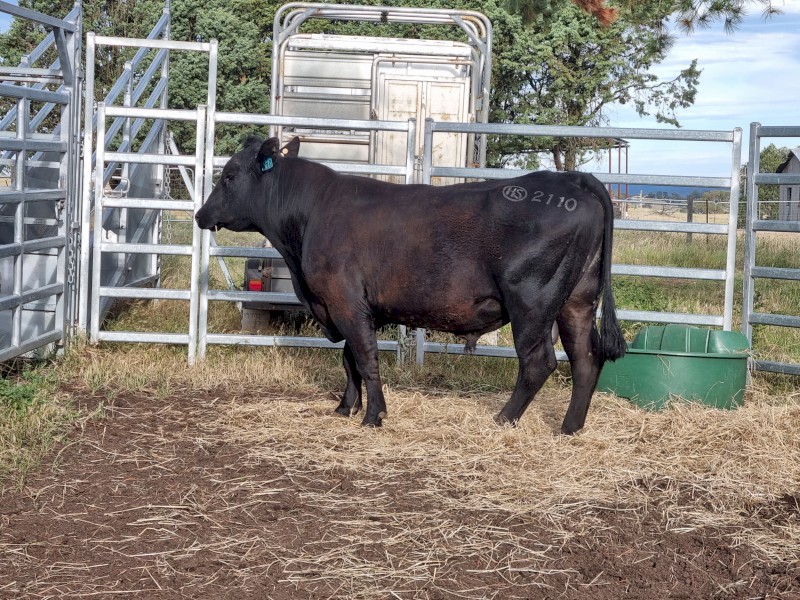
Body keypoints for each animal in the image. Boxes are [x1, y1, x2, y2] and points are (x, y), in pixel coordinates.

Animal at [195, 136, 627, 434]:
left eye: (229, 176)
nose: (200, 214)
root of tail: (572, 180)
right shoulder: (352, 306)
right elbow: (349, 359)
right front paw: (345, 408)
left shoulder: (345, 300)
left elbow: (365, 356)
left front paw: (373, 416)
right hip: (576, 301)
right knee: (586, 360)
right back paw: (570, 428)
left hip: (532, 301)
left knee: (539, 362)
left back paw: (503, 418)